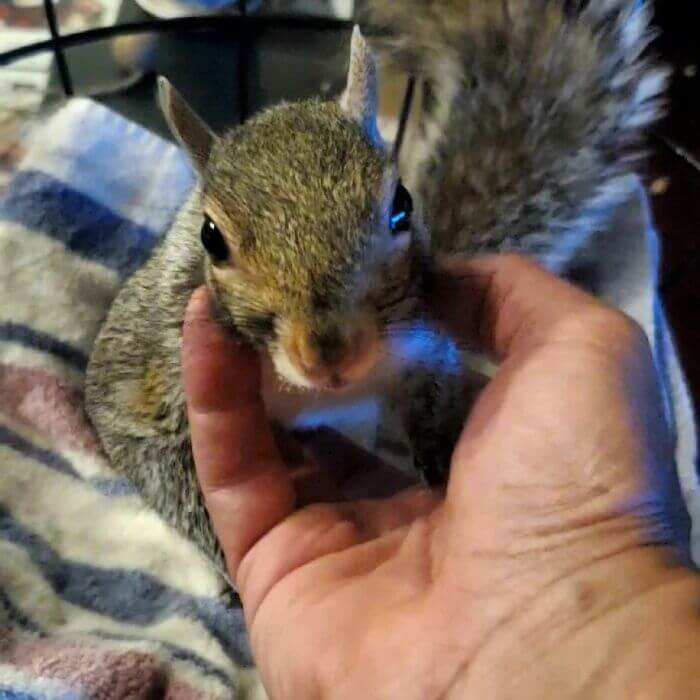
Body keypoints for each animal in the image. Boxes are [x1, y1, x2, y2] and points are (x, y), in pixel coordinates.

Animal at [85, 1, 666, 578]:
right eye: (211, 236)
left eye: (402, 205)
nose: (328, 354)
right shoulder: (148, 378)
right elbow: (149, 452)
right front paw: (224, 552)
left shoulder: (423, 336)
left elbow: (437, 381)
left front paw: (439, 450)